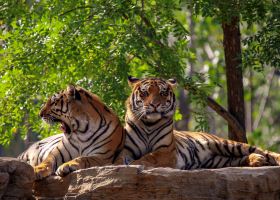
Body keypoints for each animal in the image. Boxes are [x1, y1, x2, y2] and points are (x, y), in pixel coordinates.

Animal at [121, 76, 280, 169]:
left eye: (163, 93)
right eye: (145, 93)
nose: (154, 105)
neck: (149, 124)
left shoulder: (165, 150)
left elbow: (148, 156)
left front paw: (135, 163)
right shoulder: (126, 149)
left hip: (227, 144)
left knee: (263, 151)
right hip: (218, 160)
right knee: (238, 159)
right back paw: (257, 160)